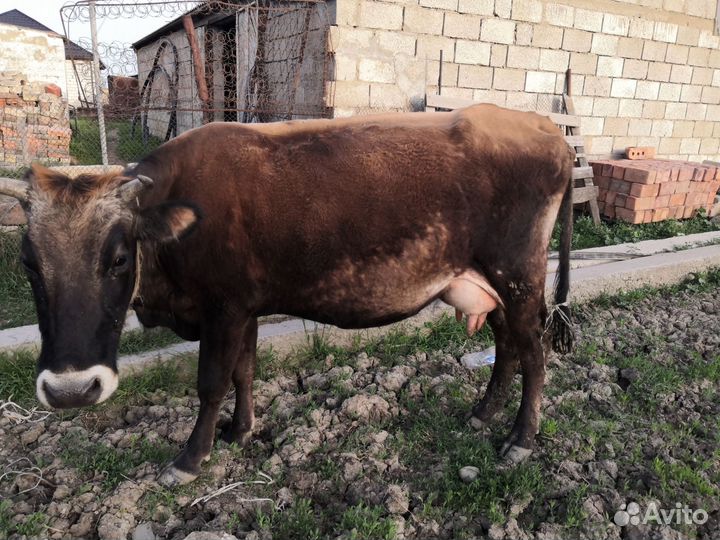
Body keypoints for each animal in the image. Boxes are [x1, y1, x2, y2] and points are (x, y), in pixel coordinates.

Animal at [0, 104, 574, 487]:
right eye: (28, 262)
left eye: (119, 258)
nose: (71, 390)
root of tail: (547, 129)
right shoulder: (246, 310)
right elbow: (244, 371)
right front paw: (241, 432)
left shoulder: (224, 309)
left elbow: (211, 382)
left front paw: (190, 458)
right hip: (486, 285)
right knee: (506, 345)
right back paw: (483, 413)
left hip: (518, 277)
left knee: (535, 349)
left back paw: (521, 439)